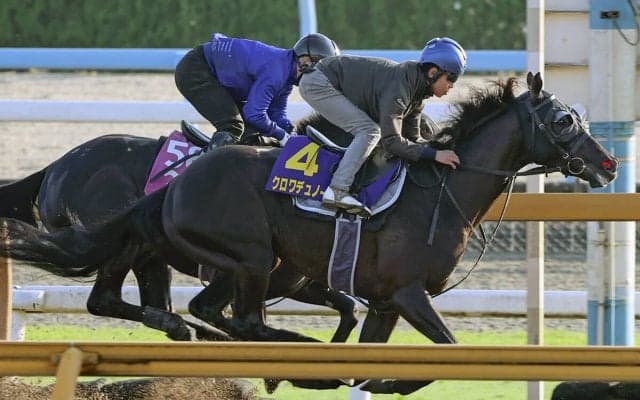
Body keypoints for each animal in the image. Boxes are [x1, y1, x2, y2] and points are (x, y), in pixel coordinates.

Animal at [0, 72, 617, 394]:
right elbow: (445, 354)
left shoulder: (381, 303)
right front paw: (369, 378)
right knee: (229, 318)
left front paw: (366, 377)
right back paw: (292, 358)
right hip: (251, 258)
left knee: (179, 309)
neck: (439, 191)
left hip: (234, 262)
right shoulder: (407, 294)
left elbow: (368, 345)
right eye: (564, 120)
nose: (608, 163)